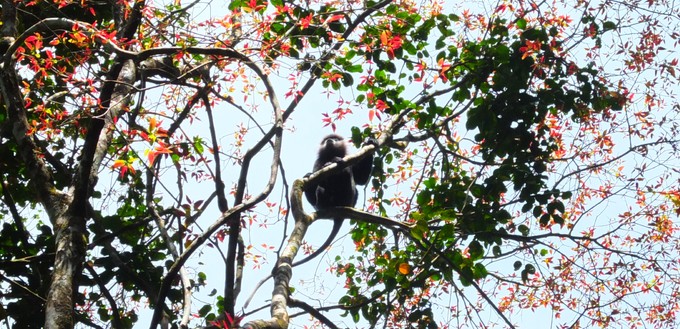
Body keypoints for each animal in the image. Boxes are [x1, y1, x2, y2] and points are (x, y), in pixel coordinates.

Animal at [294, 133, 378, 266]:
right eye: (326, 140)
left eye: (336, 139)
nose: (329, 140)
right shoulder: (317, 163)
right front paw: (310, 176)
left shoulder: (348, 158)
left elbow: (361, 179)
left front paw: (370, 141)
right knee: (320, 190)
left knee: (350, 180)